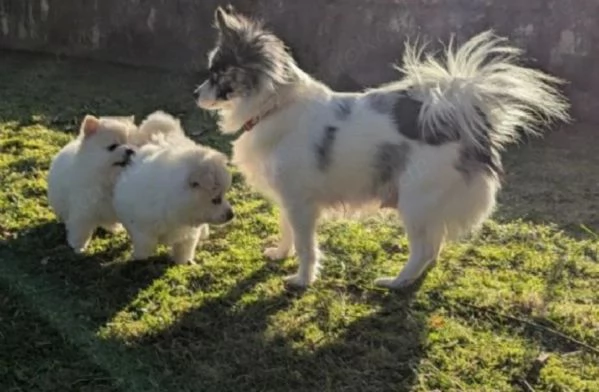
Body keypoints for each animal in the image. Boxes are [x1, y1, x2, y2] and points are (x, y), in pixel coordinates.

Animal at [47, 115, 137, 253]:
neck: (109, 179)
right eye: (113, 146)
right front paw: (78, 246)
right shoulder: (83, 211)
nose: (130, 149)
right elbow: (81, 230)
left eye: (135, 144)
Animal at [113, 112, 236, 264]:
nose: (231, 215)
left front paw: (183, 262)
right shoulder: (141, 227)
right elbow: (144, 244)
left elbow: (184, 247)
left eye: (223, 195)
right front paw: (139, 258)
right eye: (216, 199)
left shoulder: (188, 232)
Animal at [195, 4, 568, 290]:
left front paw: (302, 280)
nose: (196, 94)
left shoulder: (301, 204)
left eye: (218, 73)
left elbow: (306, 246)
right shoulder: (288, 200)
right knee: (434, 245)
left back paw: (397, 282)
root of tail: (460, 118)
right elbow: (286, 230)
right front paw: (280, 254)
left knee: (424, 248)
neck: (274, 107)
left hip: (415, 203)